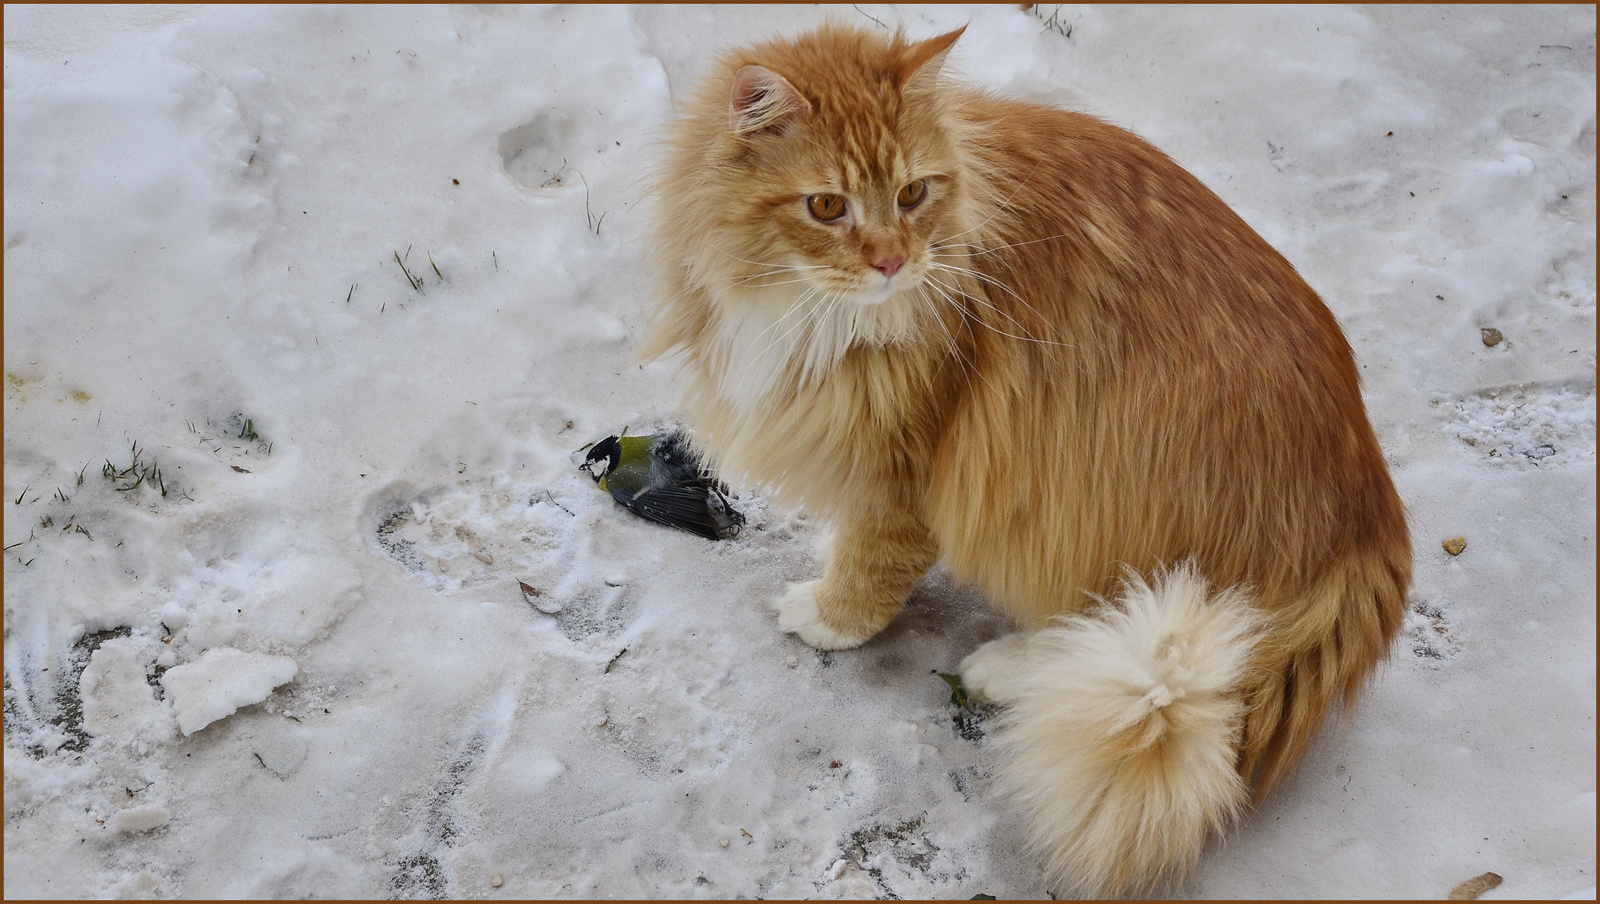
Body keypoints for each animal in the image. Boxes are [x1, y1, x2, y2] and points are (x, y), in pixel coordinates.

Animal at [640, 21, 1414, 896]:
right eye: (827, 206)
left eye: (913, 195)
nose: (893, 262)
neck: (809, 309)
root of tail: (1367, 524)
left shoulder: (908, 462)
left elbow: (875, 562)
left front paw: (832, 616)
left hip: (1103, 487)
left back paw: (1010, 670)